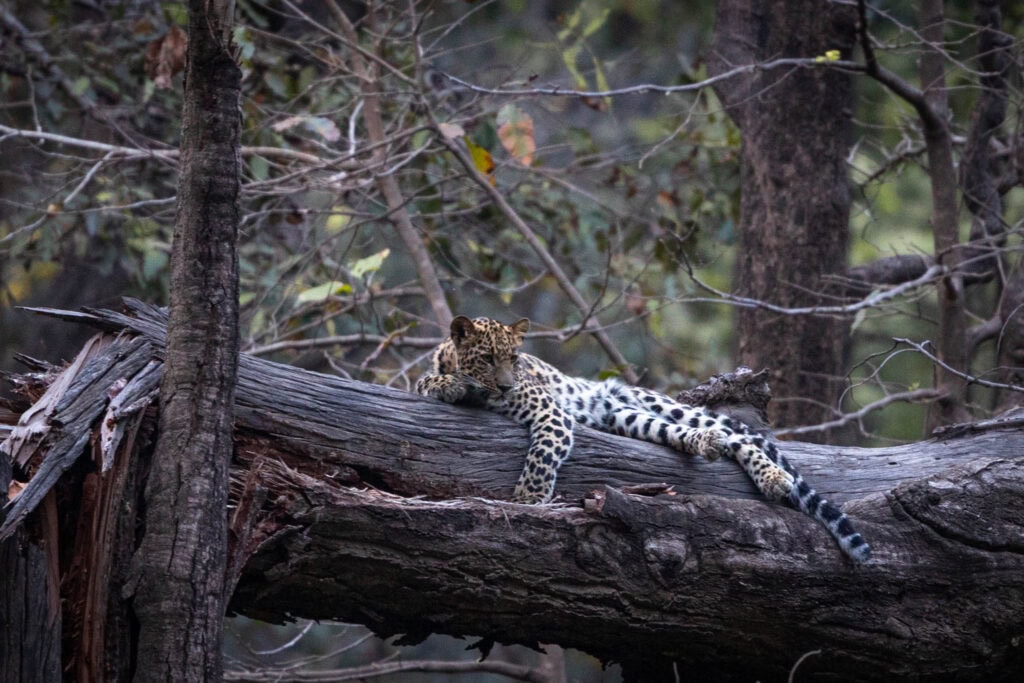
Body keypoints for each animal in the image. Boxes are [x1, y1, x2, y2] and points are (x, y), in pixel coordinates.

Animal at [416, 315, 871, 563]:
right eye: (488, 358)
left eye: (514, 358)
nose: (507, 386)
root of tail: (604, 394)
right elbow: (427, 382)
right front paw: (451, 386)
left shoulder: (550, 411)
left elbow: (543, 451)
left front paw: (529, 498)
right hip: (630, 419)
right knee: (701, 436)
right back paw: (701, 443)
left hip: (660, 405)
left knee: (743, 440)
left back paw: (773, 477)